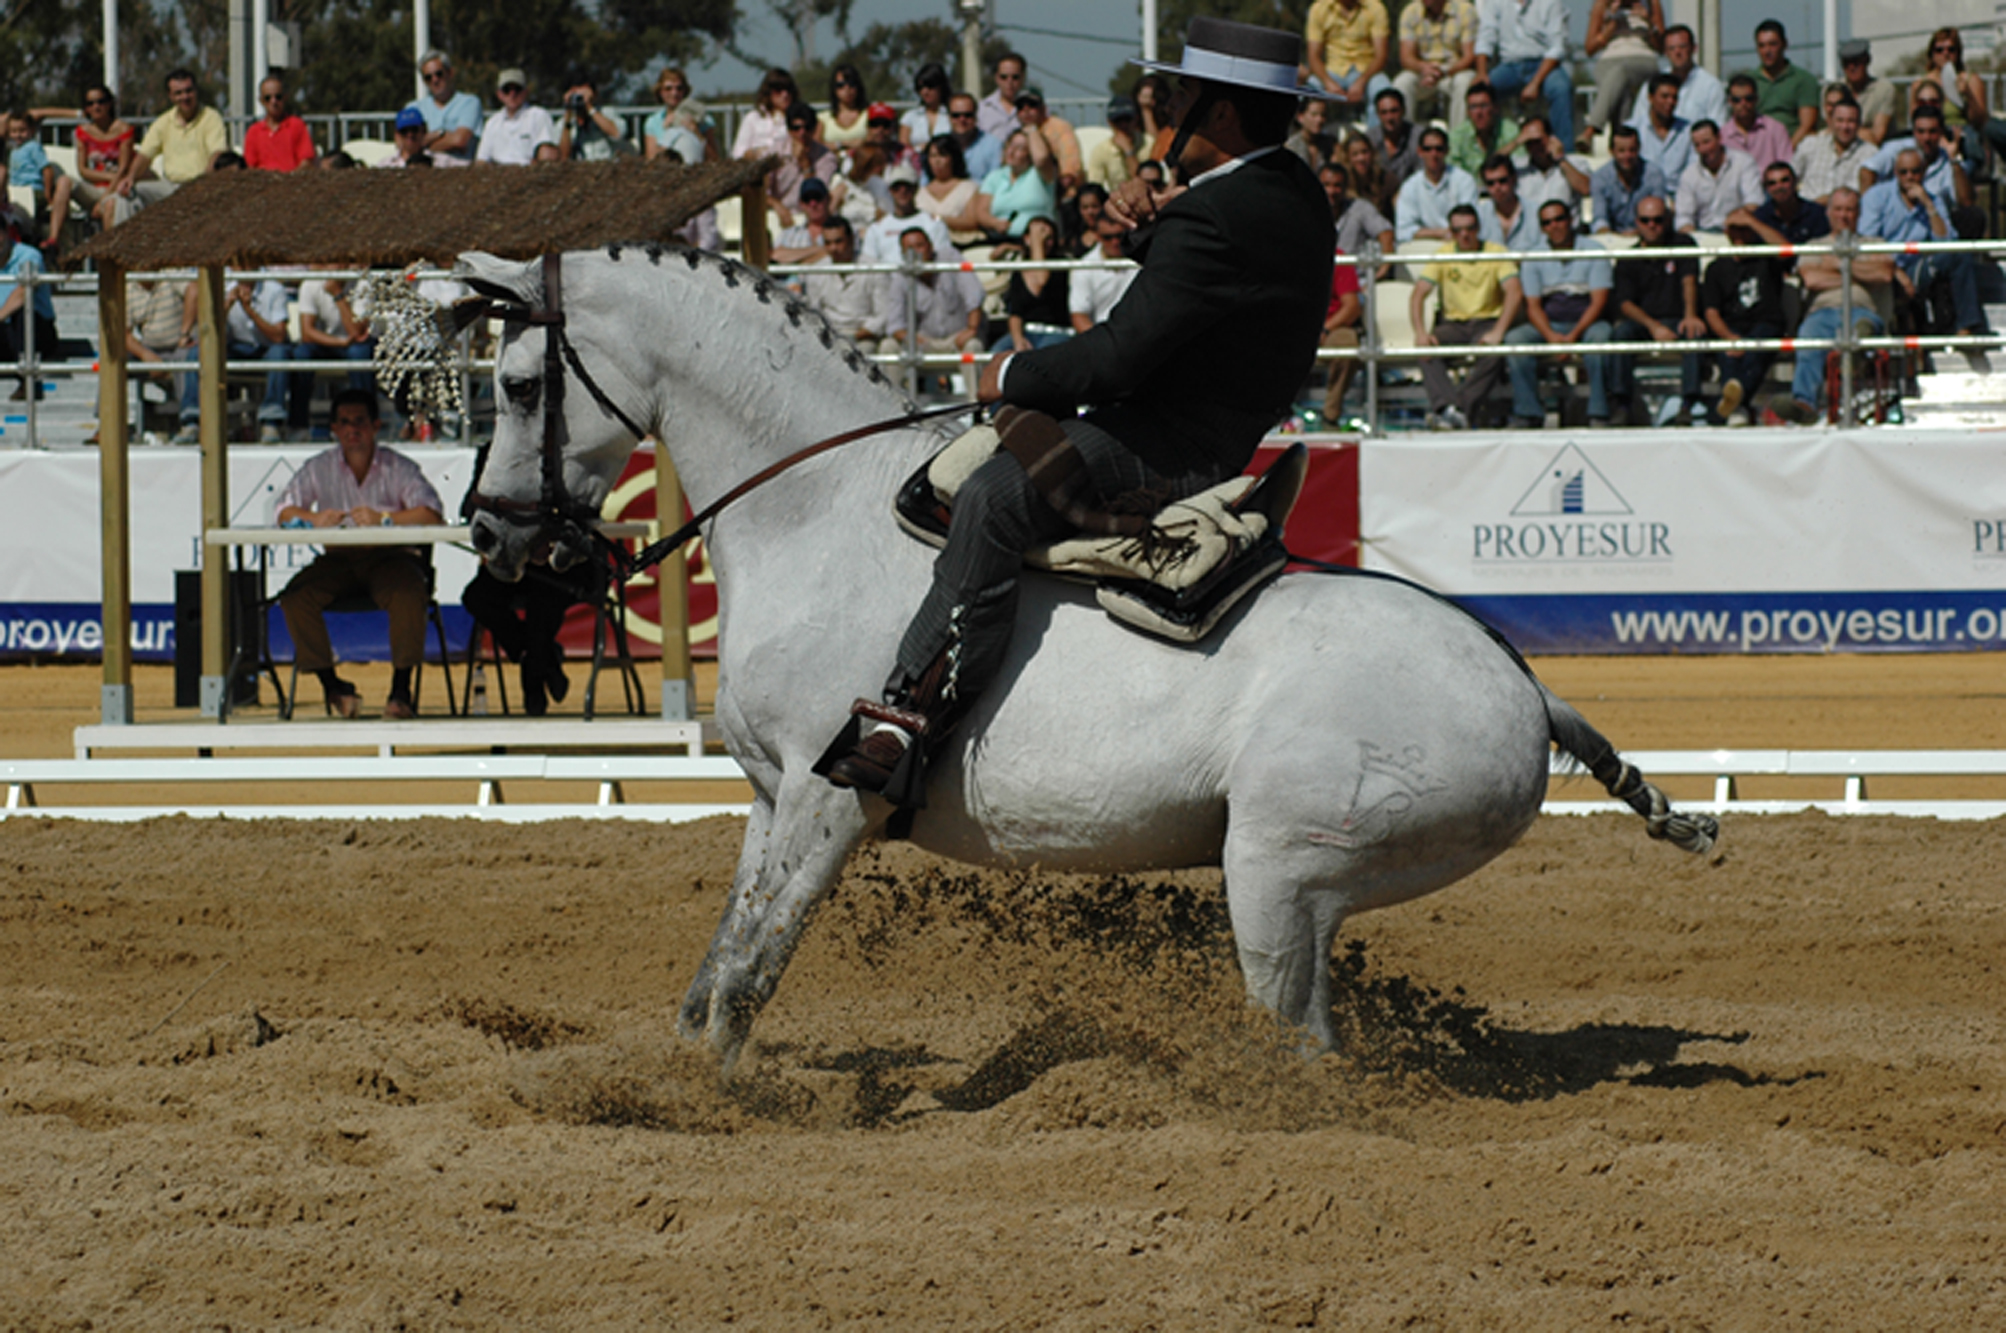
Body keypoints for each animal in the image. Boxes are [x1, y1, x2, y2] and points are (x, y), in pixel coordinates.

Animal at [461, 244, 1717, 1066]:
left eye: (518, 384)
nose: (487, 531)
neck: (816, 510)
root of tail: (1523, 689)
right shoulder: (773, 801)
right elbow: (720, 967)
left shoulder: (830, 802)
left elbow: (751, 973)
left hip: (1280, 876)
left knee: (1305, 1050)